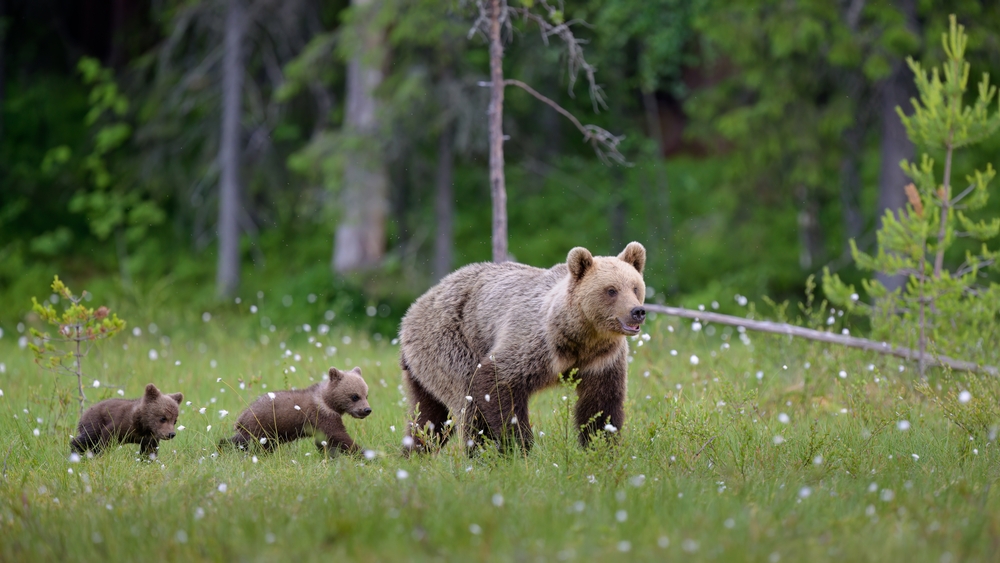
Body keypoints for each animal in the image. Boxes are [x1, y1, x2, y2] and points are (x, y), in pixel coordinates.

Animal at [222, 366, 372, 455]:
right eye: (355, 396)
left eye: (366, 395)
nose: (367, 410)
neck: (328, 402)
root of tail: (242, 415)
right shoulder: (322, 416)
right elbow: (340, 437)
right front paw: (365, 453)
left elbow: (325, 442)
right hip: (260, 427)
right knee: (242, 442)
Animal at [399, 241, 646, 454]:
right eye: (611, 290)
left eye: (635, 287)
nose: (637, 311)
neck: (580, 337)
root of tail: (414, 308)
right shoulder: (536, 343)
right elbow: (497, 382)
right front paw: (521, 446)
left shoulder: (602, 359)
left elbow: (601, 404)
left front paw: (601, 445)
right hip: (450, 343)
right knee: (468, 407)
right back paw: (480, 456)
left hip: (425, 369)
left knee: (429, 417)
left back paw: (414, 453)